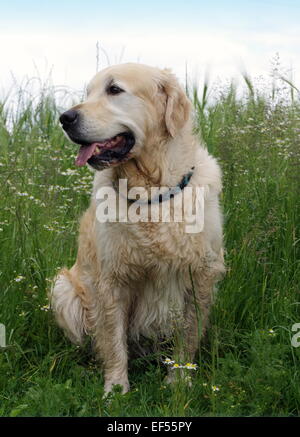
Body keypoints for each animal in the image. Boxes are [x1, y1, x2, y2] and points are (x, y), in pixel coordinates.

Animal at [51, 63, 225, 394]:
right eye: (88, 92)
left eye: (114, 89)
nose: (65, 118)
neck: (151, 193)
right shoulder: (111, 279)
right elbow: (113, 339)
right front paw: (116, 388)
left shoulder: (200, 274)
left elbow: (188, 335)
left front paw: (179, 380)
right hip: (63, 287)